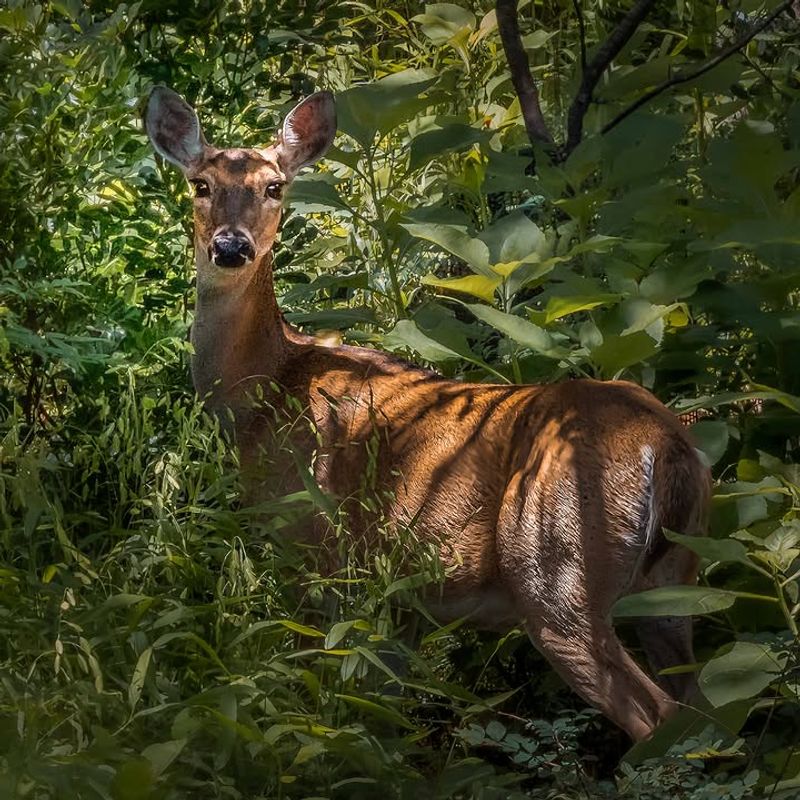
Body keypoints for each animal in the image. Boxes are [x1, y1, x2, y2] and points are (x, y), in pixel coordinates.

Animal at [145, 86, 710, 742]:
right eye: (200, 184)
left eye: (274, 187)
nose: (231, 247)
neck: (265, 388)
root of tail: (666, 448)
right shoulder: (403, 597)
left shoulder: (313, 547)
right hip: (674, 581)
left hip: (556, 571)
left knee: (660, 715)